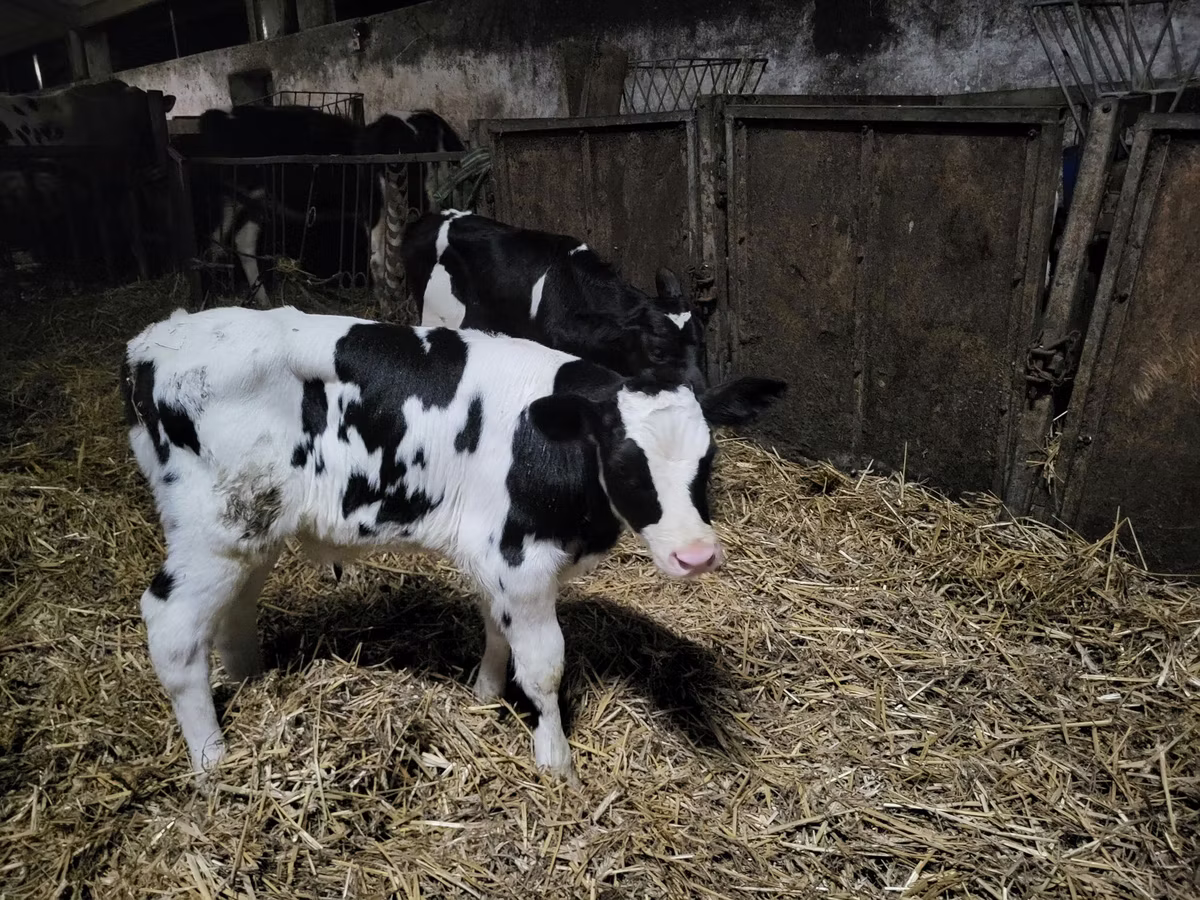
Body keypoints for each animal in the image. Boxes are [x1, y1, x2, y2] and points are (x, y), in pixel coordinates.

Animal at [122, 305, 786, 783]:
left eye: (708, 460)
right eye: (627, 464)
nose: (696, 555)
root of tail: (151, 344)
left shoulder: (496, 558)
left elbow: (497, 631)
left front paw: (484, 697)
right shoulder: (522, 561)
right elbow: (544, 666)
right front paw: (557, 762)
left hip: (253, 530)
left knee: (234, 608)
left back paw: (253, 683)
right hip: (212, 529)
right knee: (172, 625)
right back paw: (212, 761)